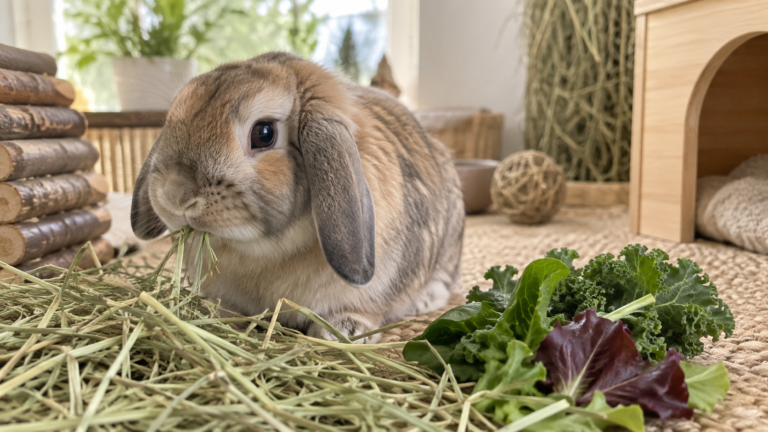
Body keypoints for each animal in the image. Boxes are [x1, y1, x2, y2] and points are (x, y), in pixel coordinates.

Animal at [131, 52, 465, 343]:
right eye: (171, 119)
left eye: (264, 133)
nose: (175, 196)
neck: (264, 251)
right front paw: (213, 312)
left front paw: (344, 330)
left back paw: (423, 301)